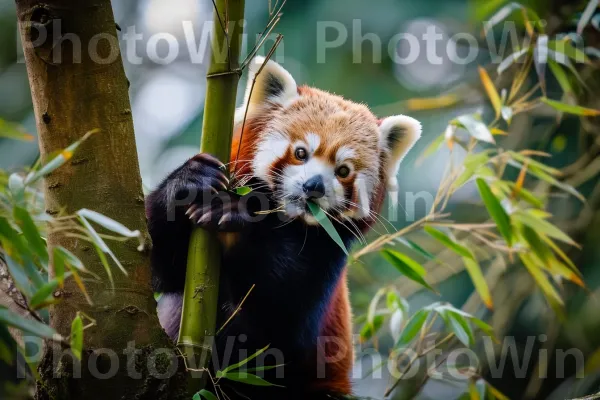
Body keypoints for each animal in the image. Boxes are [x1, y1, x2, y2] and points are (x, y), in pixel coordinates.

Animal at [146, 57, 422, 400]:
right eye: (301, 152)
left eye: (343, 170)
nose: (314, 186)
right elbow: (152, 266)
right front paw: (188, 181)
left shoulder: (324, 258)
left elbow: (274, 326)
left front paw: (237, 212)